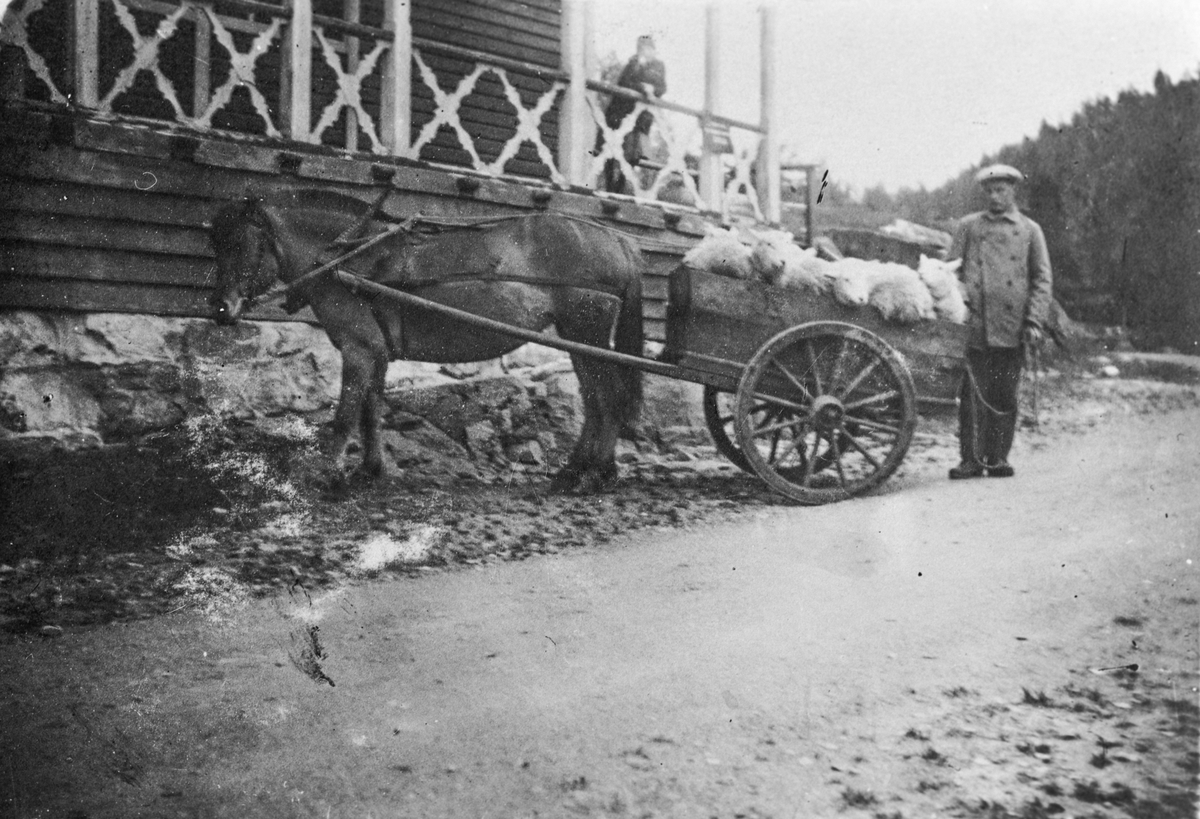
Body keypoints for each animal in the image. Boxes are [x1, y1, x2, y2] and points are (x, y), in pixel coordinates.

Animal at [211, 188, 652, 492]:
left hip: (586, 330)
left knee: (607, 398)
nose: (222, 309)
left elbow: (345, 416)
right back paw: (576, 471)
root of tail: (618, 242)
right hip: (578, 338)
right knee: (594, 400)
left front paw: (327, 476)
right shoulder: (376, 352)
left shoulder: (358, 349)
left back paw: (595, 475)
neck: (347, 259)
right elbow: (371, 411)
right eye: (215, 242)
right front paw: (369, 470)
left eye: (239, 243)